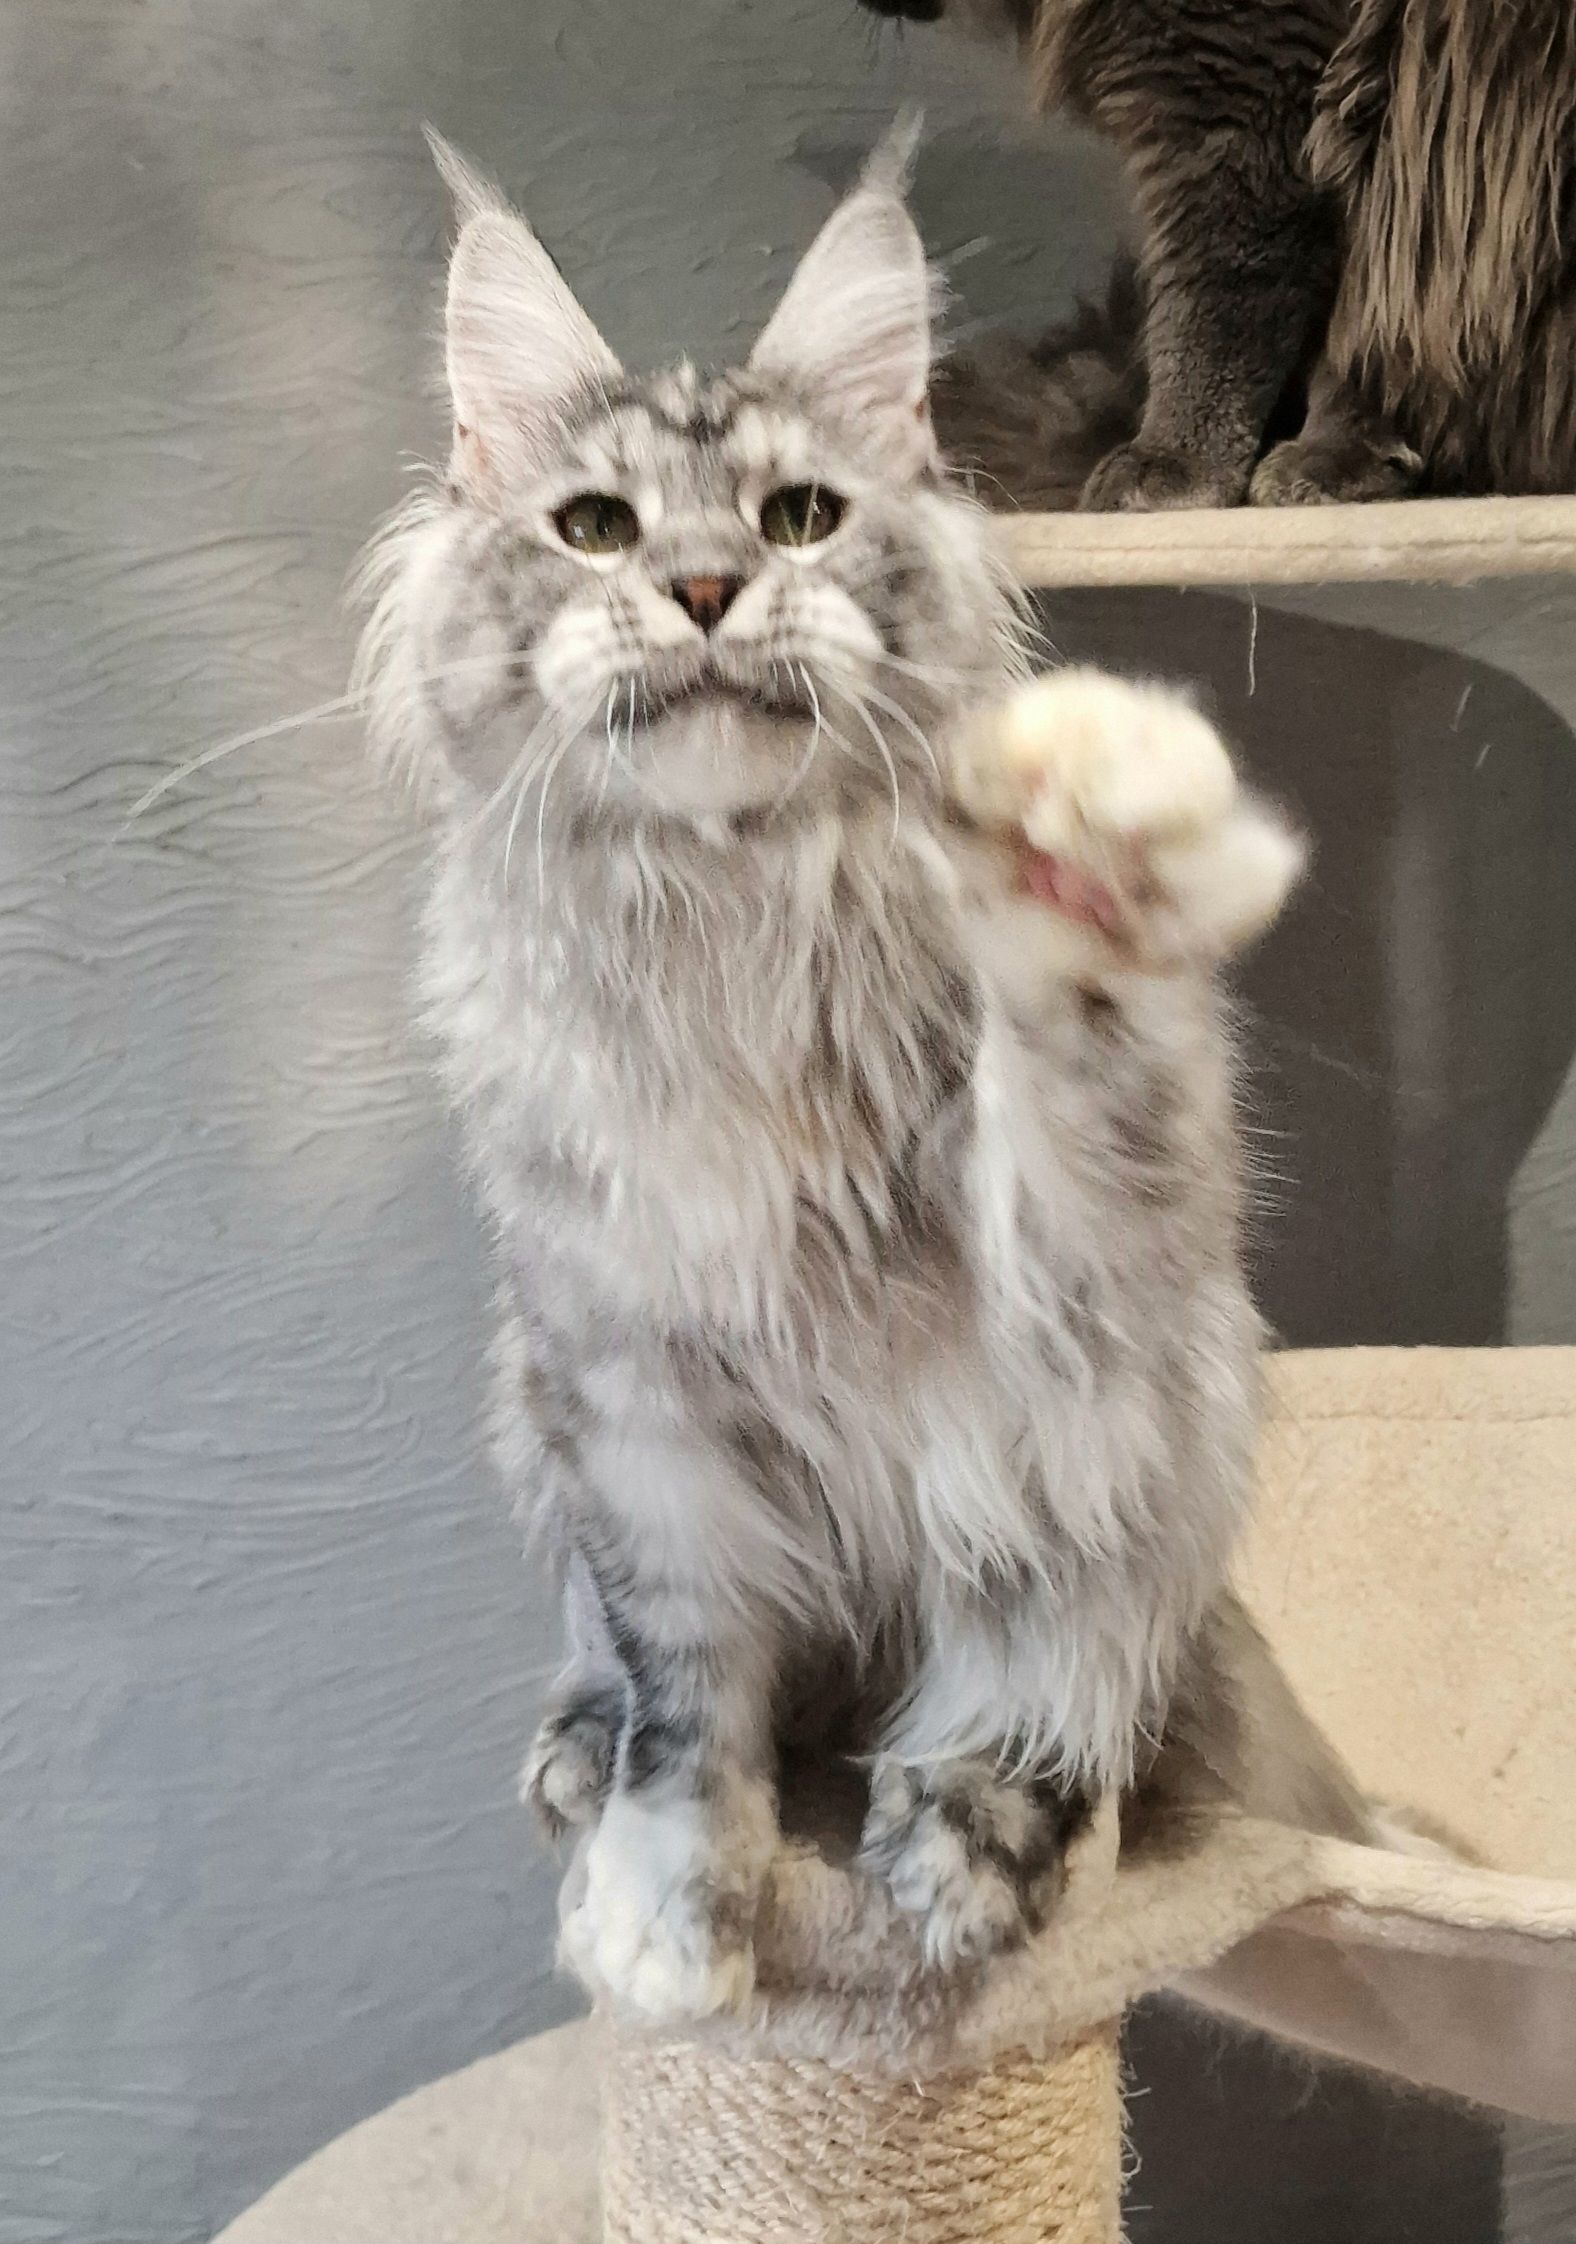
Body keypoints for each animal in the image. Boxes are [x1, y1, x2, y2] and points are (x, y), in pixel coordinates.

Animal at [358, 129, 1325, 2026]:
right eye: (596, 528)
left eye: (800, 516)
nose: (705, 590)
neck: (728, 928)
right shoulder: (627, 1402)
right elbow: (689, 1710)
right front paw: (664, 1918)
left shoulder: (1067, 1294)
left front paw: (1084, 843)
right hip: (536, 1418)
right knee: (649, 1686)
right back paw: (579, 1761)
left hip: (1175, 1424)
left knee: (1062, 1694)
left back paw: (966, 1848)